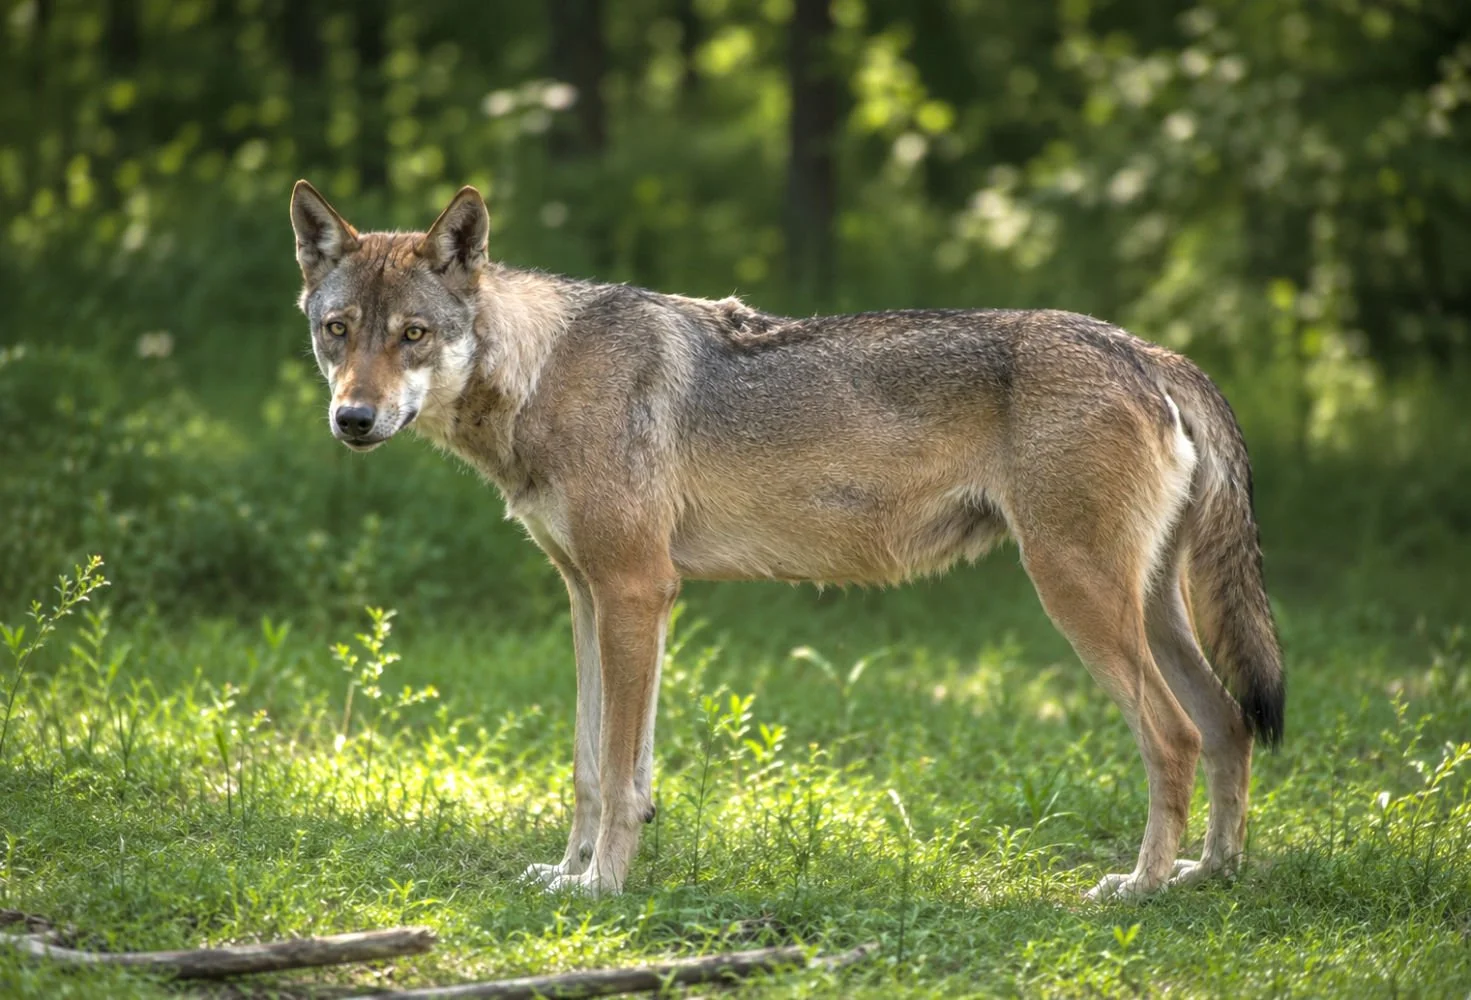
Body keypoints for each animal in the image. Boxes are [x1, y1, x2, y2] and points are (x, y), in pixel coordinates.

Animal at [289, 181, 1284, 901]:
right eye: (337, 332)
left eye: (414, 335)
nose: (352, 420)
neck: (540, 376)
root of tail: (1146, 350)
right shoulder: (589, 596)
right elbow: (592, 767)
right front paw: (566, 873)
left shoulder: (635, 592)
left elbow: (616, 775)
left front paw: (601, 887)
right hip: (1149, 610)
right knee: (1229, 723)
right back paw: (1208, 876)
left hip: (1079, 599)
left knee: (1174, 736)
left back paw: (1139, 886)